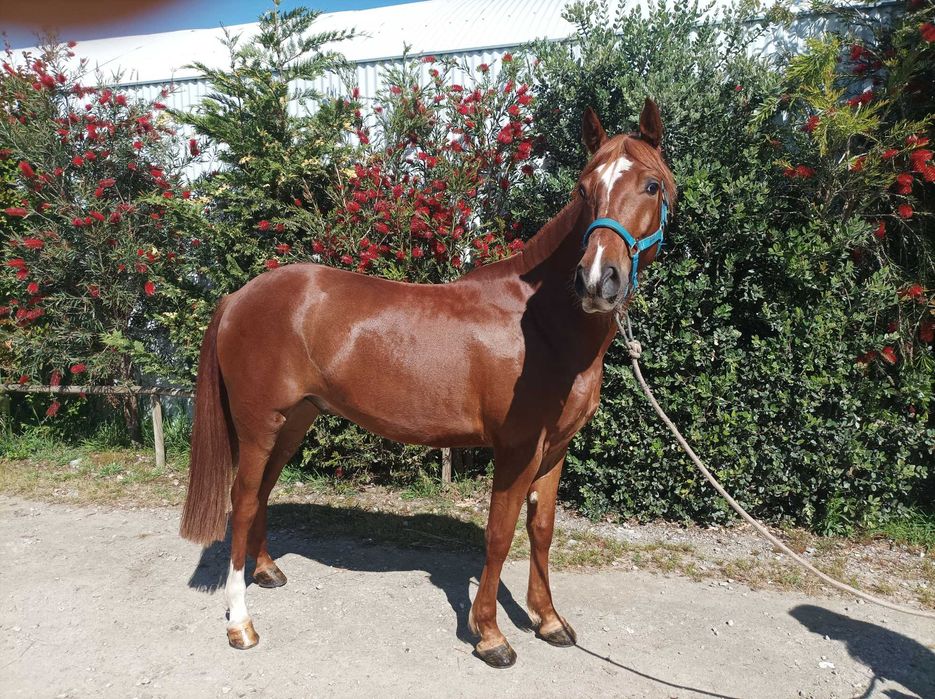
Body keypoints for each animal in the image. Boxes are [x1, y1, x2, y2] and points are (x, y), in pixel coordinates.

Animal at [179, 98, 677, 668]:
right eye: (583, 188)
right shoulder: (517, 450)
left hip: (294, 421)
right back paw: (241, 623)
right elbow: (500, 535)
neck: (539, 325)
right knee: (240, 504)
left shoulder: (554, 451)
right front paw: (490, 635)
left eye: (651, 186)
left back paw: (266, 572)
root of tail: (239, 296)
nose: (597, 280)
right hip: (260, 424)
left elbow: (542, 530)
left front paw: (549, 621)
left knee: (260, 494)